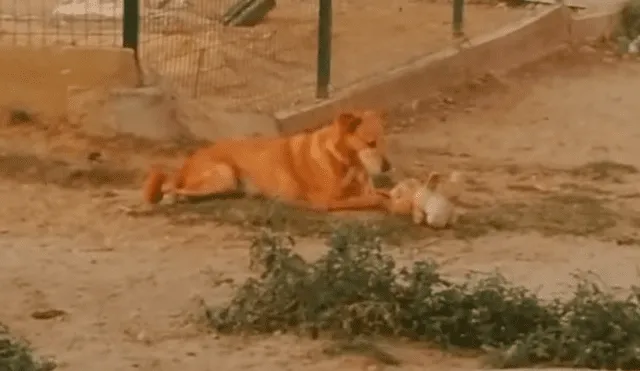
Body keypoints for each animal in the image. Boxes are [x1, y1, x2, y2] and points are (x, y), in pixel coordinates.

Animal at [143, 110, 392, 212]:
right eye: (370, 143)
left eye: (383, 139)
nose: (388, 167)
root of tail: (192, 158)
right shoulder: (327, 201)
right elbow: (374, 199)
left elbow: (380, 193)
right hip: (224, 175)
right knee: (171, 188)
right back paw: (171, 198)